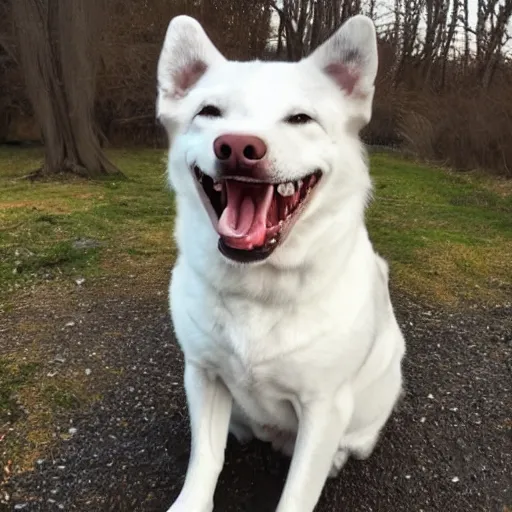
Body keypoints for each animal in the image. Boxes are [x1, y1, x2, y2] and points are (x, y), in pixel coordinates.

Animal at [158, 15, 406, 512]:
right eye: (208, 112)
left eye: (300, 118)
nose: (237, 147)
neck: (257, 288)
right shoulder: (203, 375)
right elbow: (205, 460)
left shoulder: (324, 406)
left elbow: (298, 492)